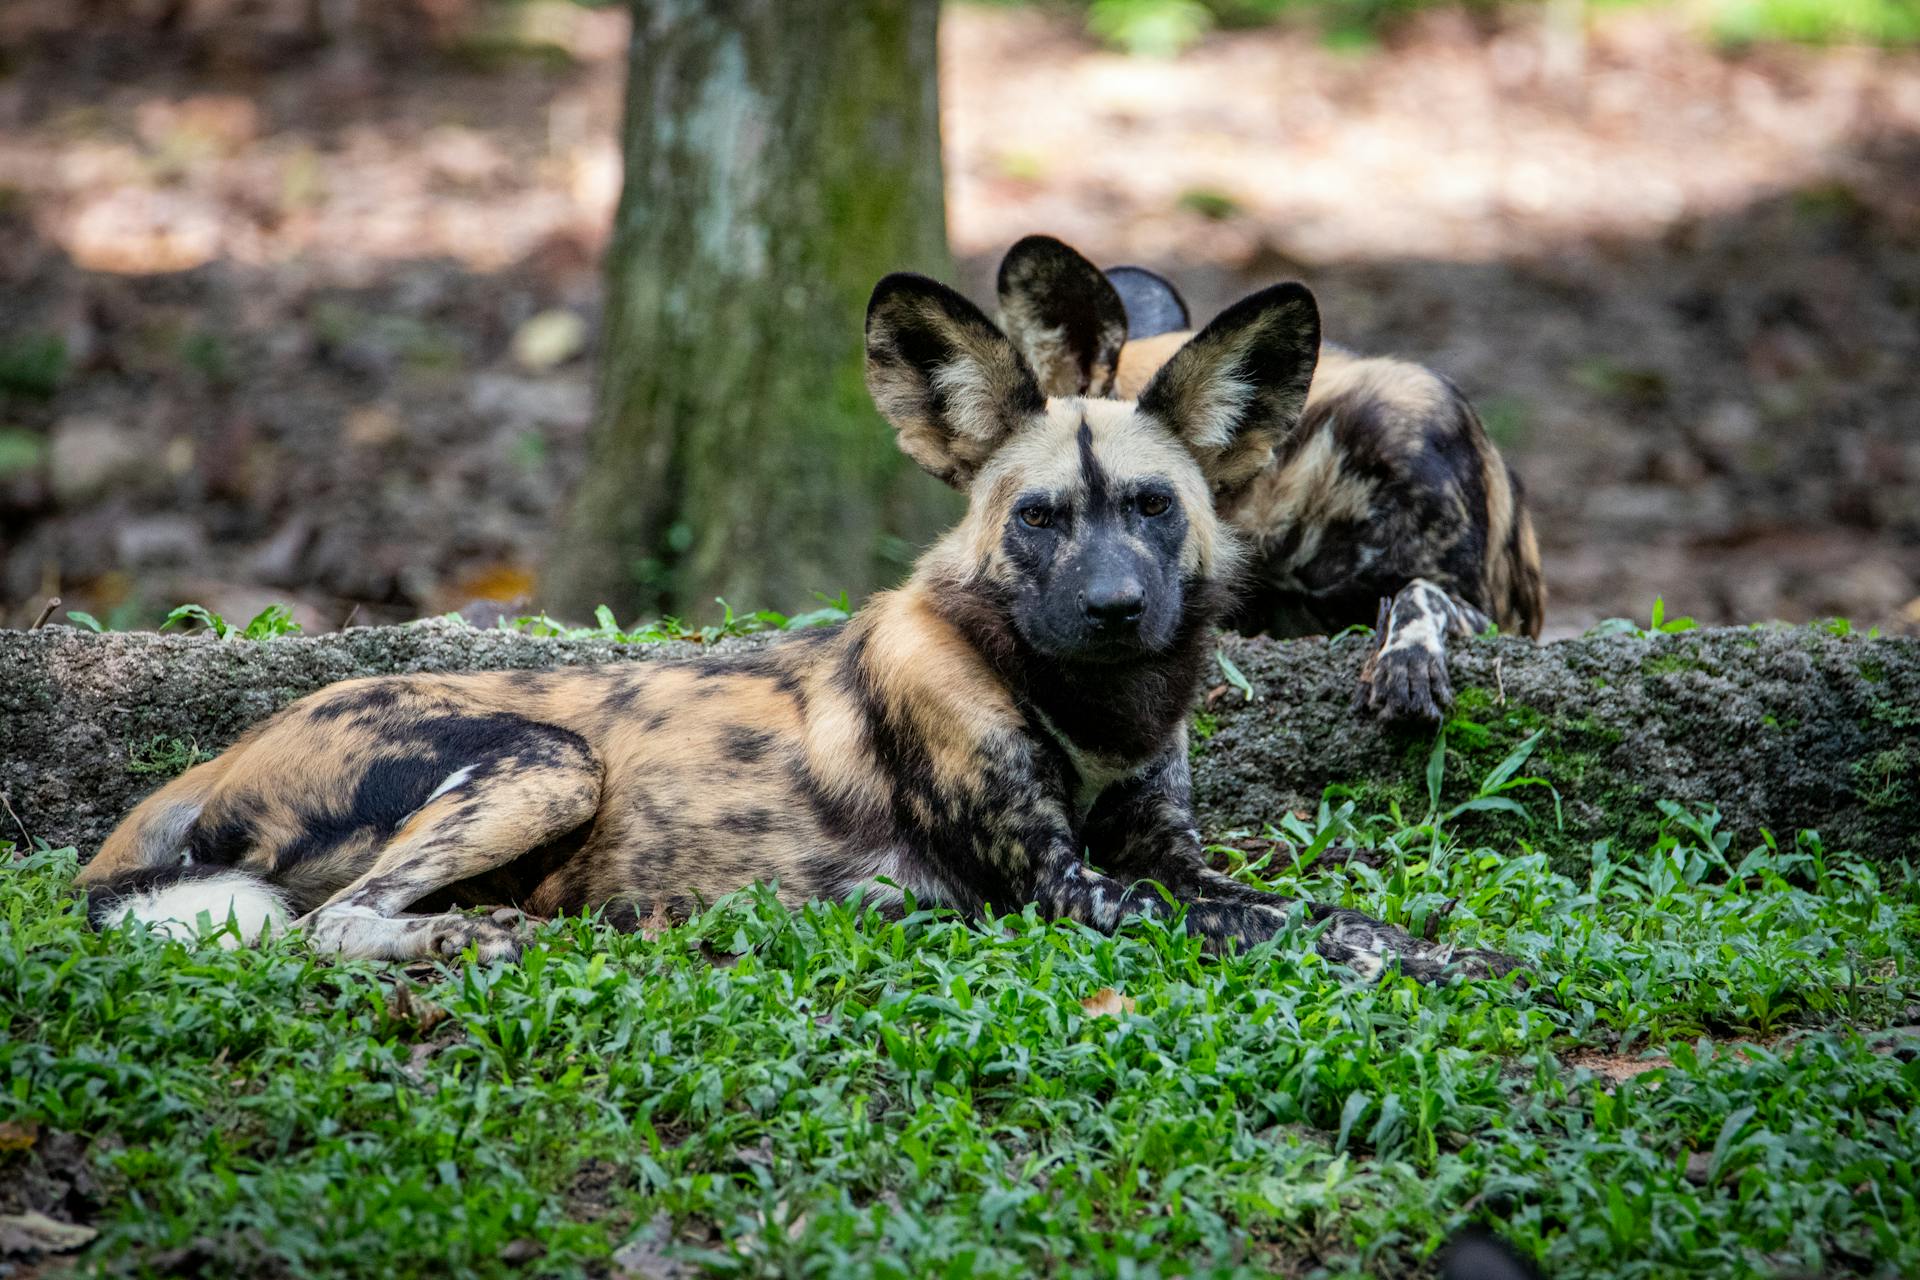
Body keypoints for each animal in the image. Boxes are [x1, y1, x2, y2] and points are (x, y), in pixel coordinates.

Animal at [71, 270, 1512, 990]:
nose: (1114, 607)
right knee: (332, 922)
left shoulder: (1160, 855)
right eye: (1041, 517)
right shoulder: (1064, 891)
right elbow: (1286, 925)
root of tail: (213, 756)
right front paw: (1420, 957)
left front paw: (1424, 941)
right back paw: (469, 942)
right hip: (547, 759)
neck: (1092, 707)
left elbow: (1301, 905)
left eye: (1155, 508)